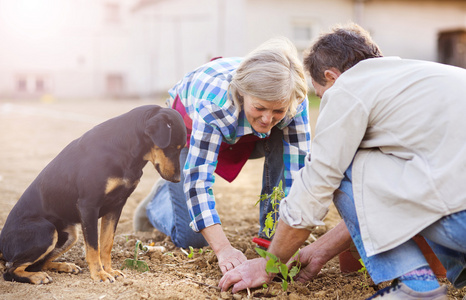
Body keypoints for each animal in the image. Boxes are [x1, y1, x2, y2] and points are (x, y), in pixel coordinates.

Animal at [0, 105, 186, 284]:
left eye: (181, 148)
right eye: (171, 147)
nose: (178, 179)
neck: (124, 149)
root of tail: (1, 243)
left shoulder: (116, 206)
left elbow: (106, 243)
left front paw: (109, 270)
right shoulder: (88, 206)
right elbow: (93, 247)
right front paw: (99, 274)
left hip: (70, 235)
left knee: (37, 264)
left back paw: (64, 266)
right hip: (47, 231)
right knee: (10, 270)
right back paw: (37, 277)